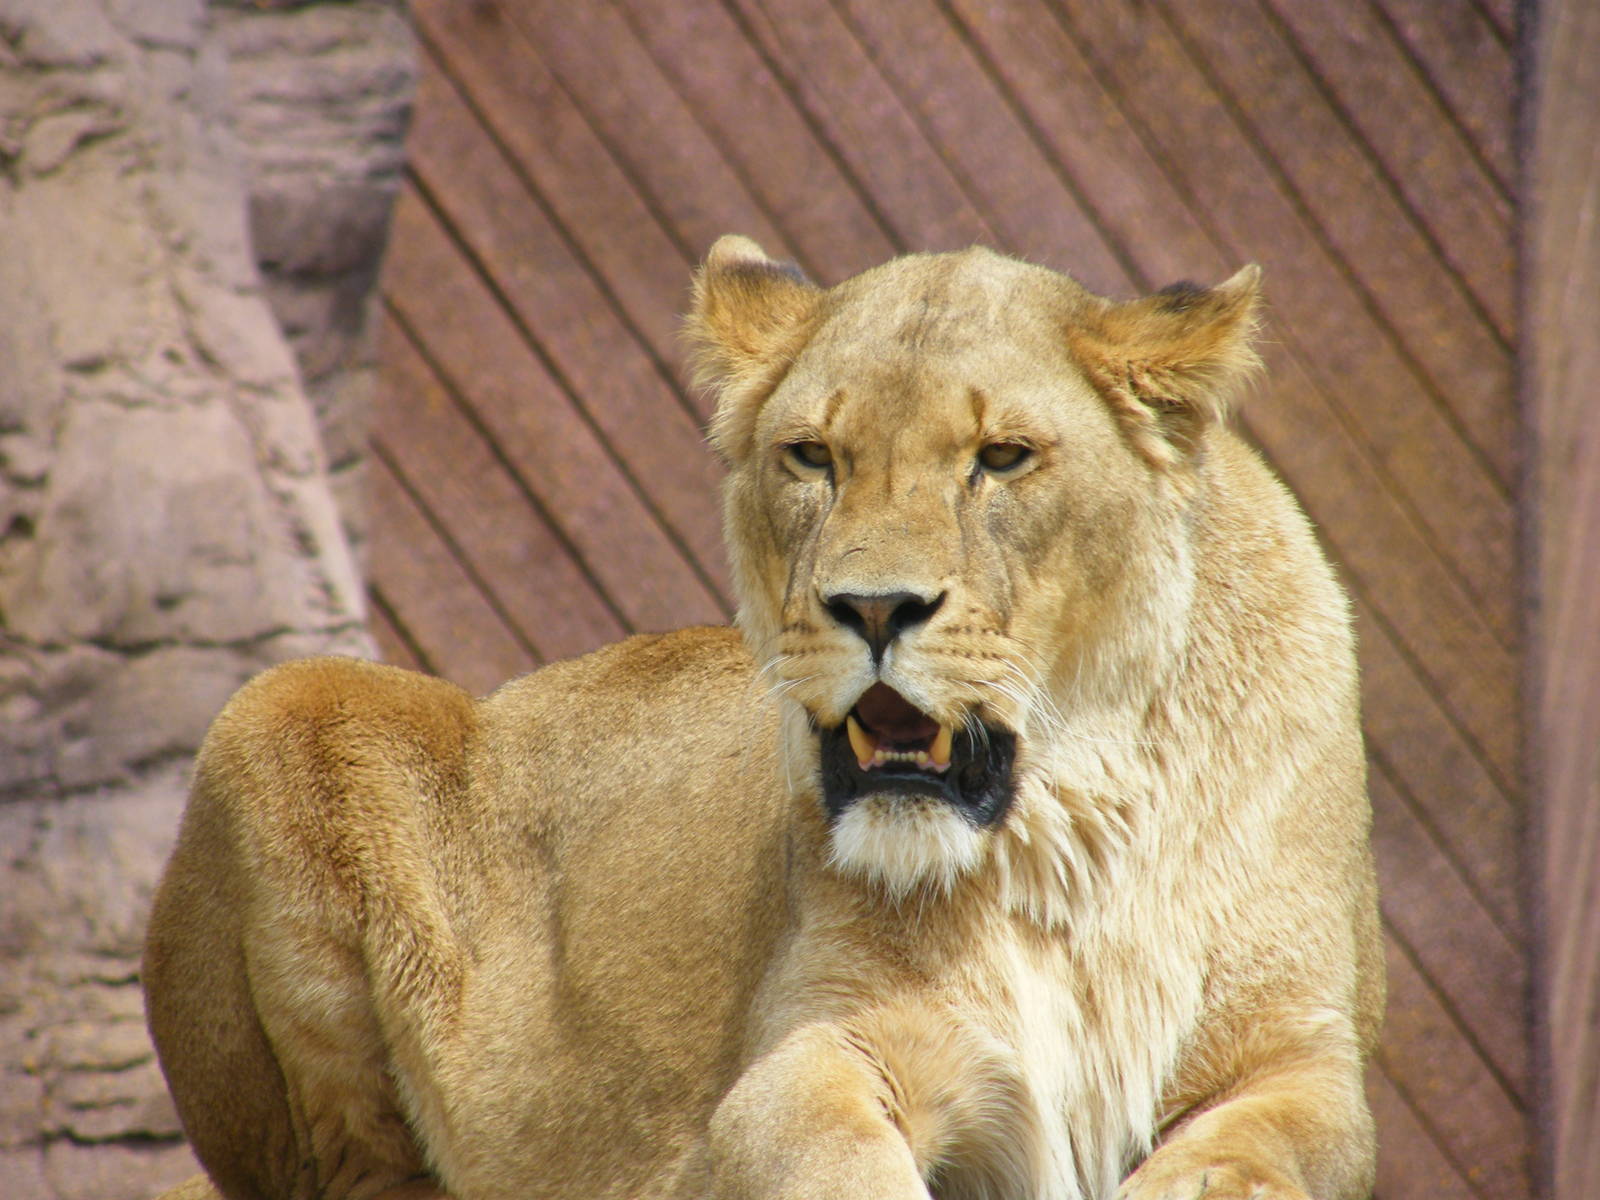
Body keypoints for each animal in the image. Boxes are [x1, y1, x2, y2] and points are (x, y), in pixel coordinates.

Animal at [143, 236, 1383, 1200]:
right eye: (812, 457)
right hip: (284, 704)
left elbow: (1265, 1151)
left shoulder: (1303, 1056)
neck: (1064, 847)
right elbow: (818, 1144)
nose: (872, 607)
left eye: (1001, 458)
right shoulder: (811, 1048)